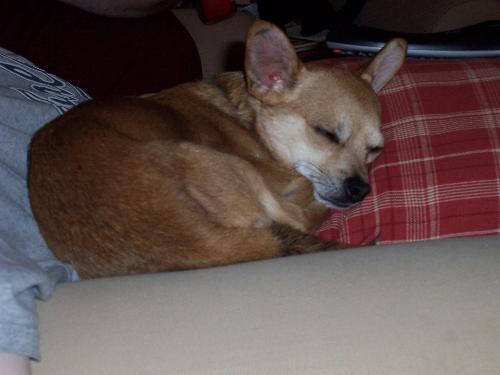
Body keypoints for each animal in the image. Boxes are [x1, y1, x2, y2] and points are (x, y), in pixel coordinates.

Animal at [28, 21, 406, 280]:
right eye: (326, 134)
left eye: (375, 150)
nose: (360, 190)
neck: (249, 119)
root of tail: (201, 242)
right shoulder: (276, 174)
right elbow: (302, 192)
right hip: (218, 161)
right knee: (299, 215)